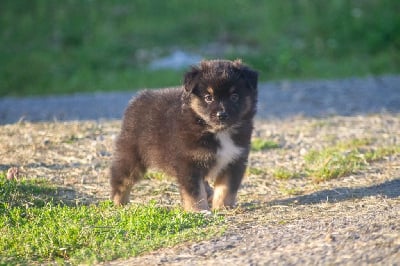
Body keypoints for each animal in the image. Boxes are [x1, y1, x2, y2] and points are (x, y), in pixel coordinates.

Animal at [110, 59, 260, 211]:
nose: (221, 115)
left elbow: (226, 189)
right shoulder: (189, 162)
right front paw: (199, 210)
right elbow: (195, 192)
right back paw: (118, 203)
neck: (217, 132)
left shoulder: (235, 160)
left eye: (234, 96)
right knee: (120, 179)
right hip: (131, 154)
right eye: (208, 97)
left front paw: (223, 207)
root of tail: (138, 98)